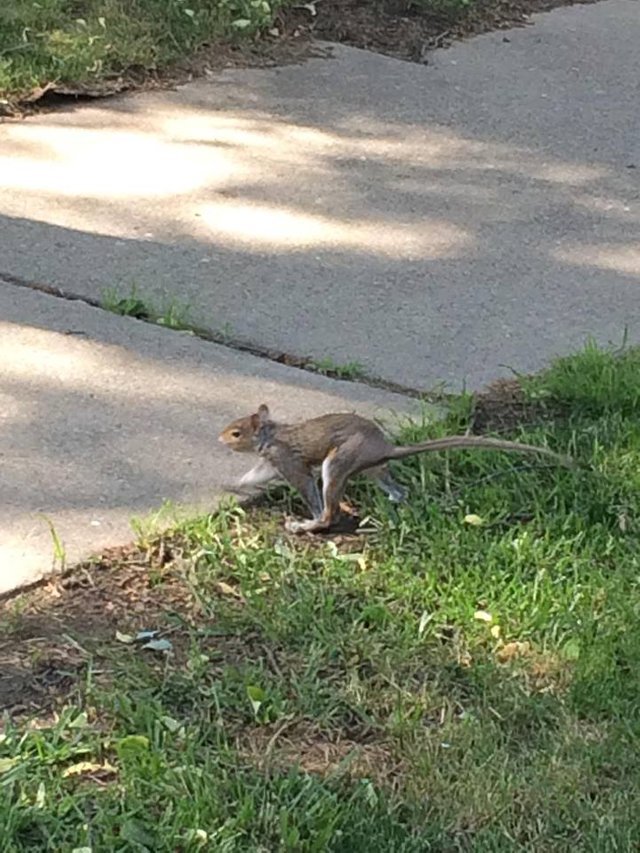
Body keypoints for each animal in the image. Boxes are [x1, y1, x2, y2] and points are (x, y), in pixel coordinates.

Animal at [220, 402, 568, 532]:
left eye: (236, 432)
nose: (220, 438)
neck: (270, 435)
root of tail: (384, 447)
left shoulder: (288, 461)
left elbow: (304, 485)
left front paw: (309, 517)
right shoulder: (271, 463)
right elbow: (254, 475)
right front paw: (232, 484)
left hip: (338, 463)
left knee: (331, 510)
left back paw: (310, 524)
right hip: (375, 470)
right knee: (400, 489)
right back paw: (397, 503)